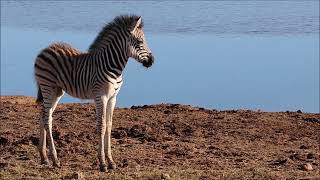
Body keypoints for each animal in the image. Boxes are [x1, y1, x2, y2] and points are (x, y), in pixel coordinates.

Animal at [34, 14, 154, 172]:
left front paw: (111, 161)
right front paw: (102, 163)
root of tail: (45, 49)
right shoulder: (100, 96)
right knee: (47, 119)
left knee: (43, 115)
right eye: (140, 41)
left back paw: (44, 158)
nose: (152, 61)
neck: (112, 66)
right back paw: (55, 159)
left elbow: (109, 125)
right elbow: (101, 126)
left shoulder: (113, 98)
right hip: (47, 86)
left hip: (56, 91)